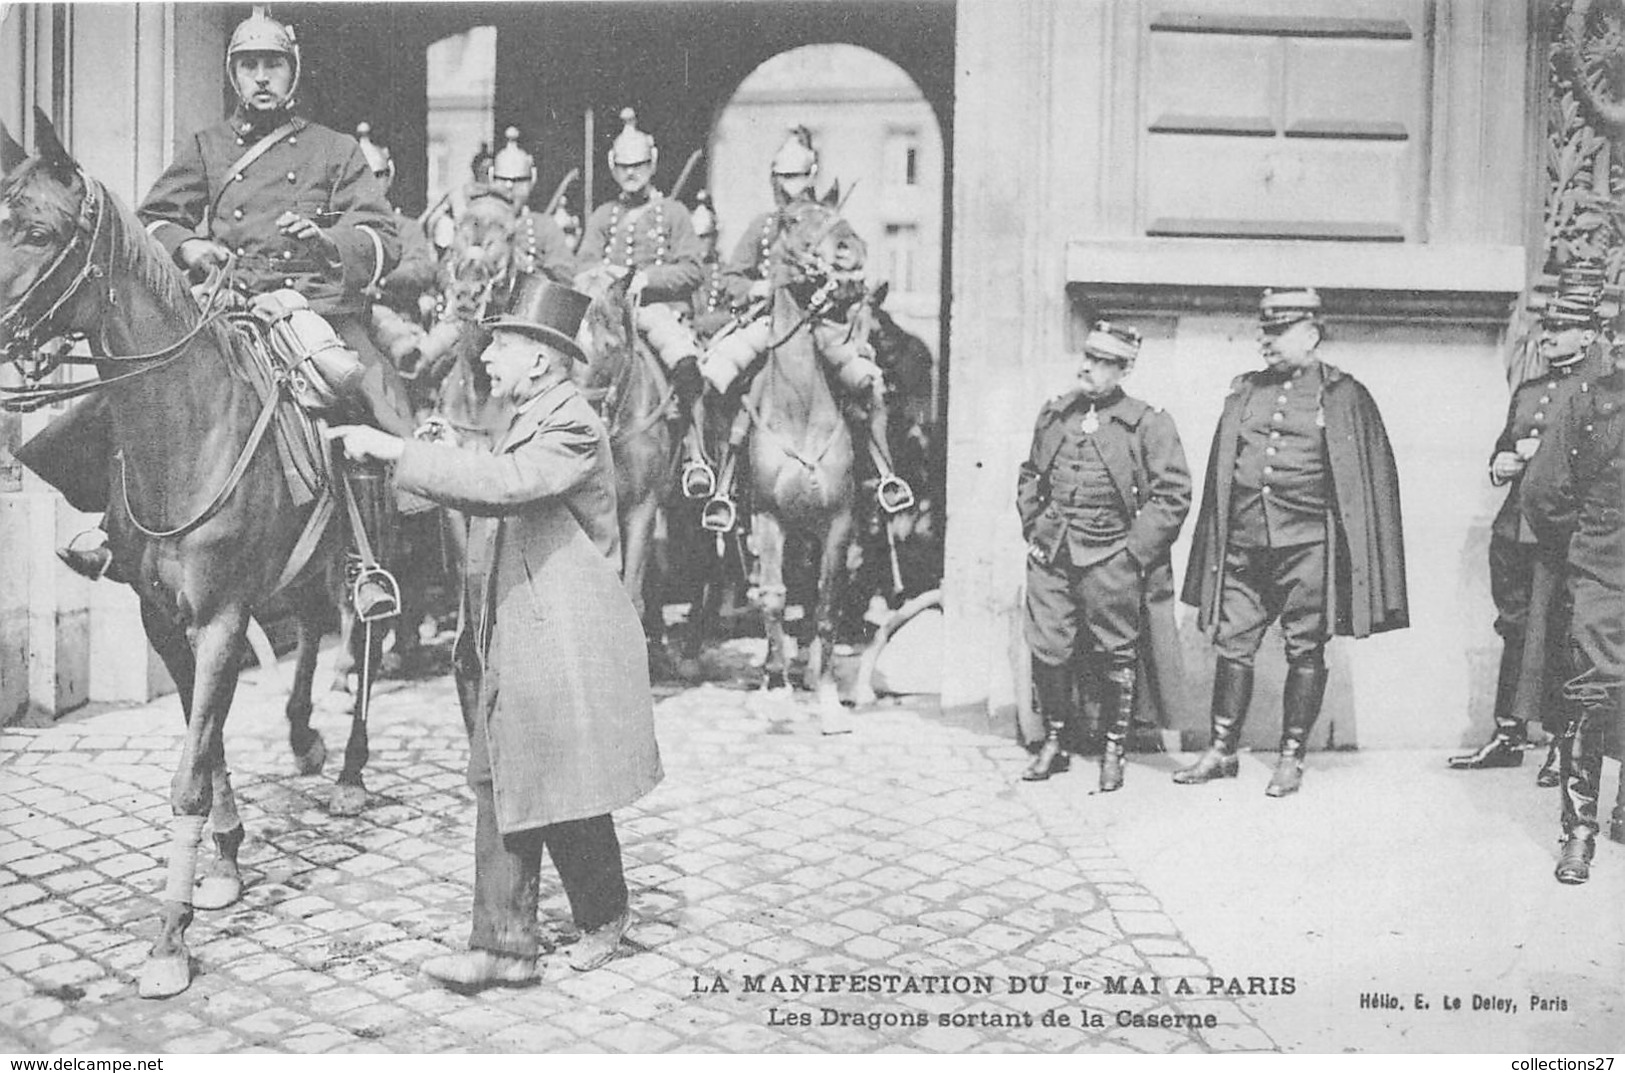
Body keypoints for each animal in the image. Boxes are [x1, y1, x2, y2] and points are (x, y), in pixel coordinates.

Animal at [0, 111, 372, 994]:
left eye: (40, 230)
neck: (185, 429)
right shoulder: (163, 617)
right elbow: (210, 743)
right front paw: (226, 864)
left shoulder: (223, 619)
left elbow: (189, 773)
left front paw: (170, 934)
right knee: (314, 623)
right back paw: (304, 735)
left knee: (363, 627)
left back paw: (348, 767)